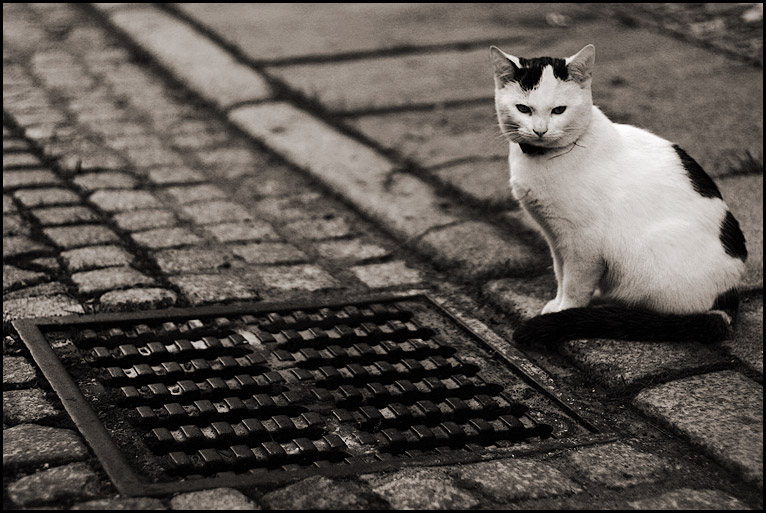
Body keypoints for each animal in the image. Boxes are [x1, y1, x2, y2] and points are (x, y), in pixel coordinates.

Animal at [492, 44, 752, 344]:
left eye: (559, 110)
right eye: (523, 109)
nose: (540, 131)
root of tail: (729, 297)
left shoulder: (584, 243)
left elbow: (575, 284)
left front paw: (566, 310)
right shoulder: (555, 236)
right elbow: (560, 273)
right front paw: (557, 304)